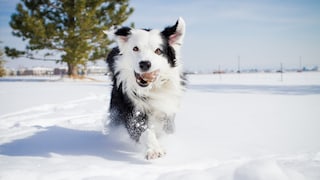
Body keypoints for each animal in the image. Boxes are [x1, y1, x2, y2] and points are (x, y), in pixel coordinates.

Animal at [105, 17, 185, 159]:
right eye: (135, 48)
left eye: (158, 51)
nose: (145, 64)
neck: (151, 89)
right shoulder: (131, 109)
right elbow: (143, 130)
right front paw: (154, 149)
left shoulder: (167, 110)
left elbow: (166, 130)